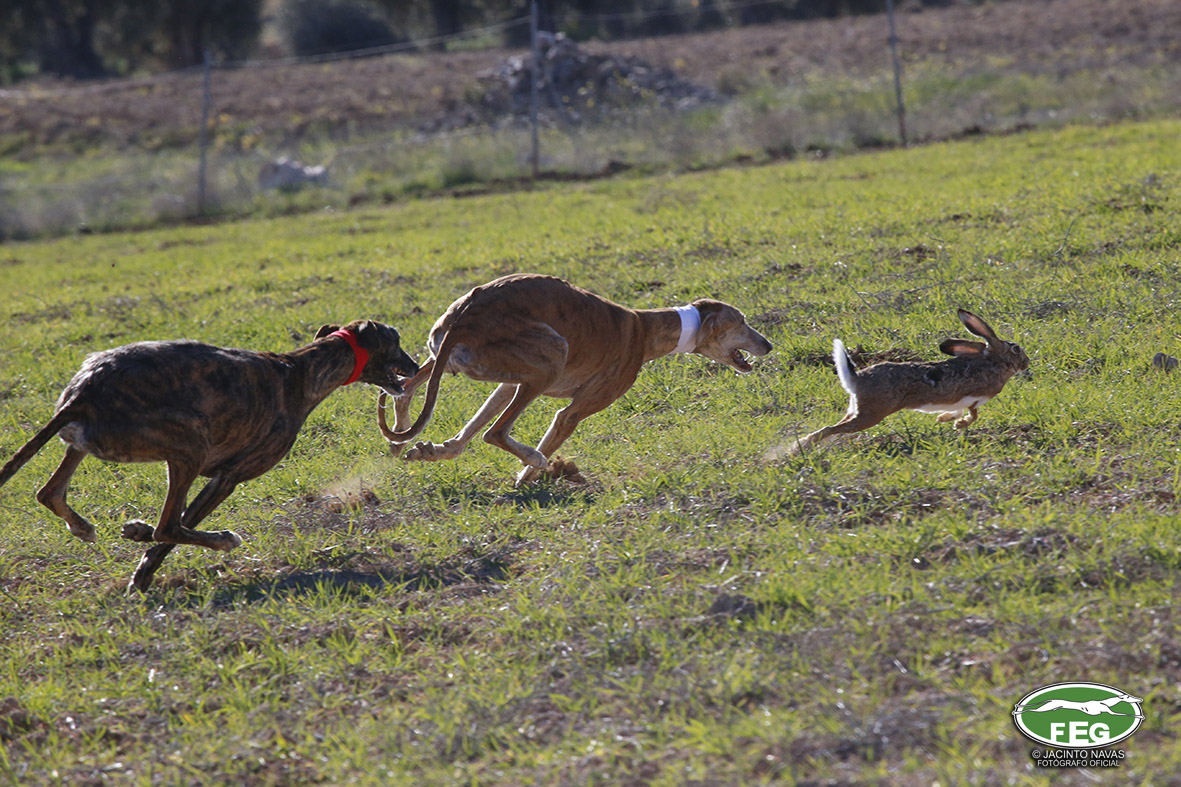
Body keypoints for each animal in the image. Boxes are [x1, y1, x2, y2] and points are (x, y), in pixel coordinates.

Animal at [0, 320, 418, 592]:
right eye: (396, 340)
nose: (416, 365)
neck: (301, 371)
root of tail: (83, 392)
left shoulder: (218, 476)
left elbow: (169, 531)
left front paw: (138, 551)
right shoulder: (228, 477)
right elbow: (173, 531)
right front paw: (143, 573)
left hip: (83, 443)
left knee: (50, 492)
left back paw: (86, 527)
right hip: (189, 440)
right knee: (169, 525)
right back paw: (221, 540)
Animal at [376, 273, 773, 485]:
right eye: (741, 321)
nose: (768, 345)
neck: (644, 328)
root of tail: (467, 312)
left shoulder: (509, 383)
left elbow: (466, 433)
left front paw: (436, 450)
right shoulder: (573, 411)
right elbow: (557, 425)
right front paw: (528, 475)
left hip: (448, 356)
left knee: (407, 389)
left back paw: (406, 436)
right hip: (553, 353)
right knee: (496, 433)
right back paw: (534, 459)